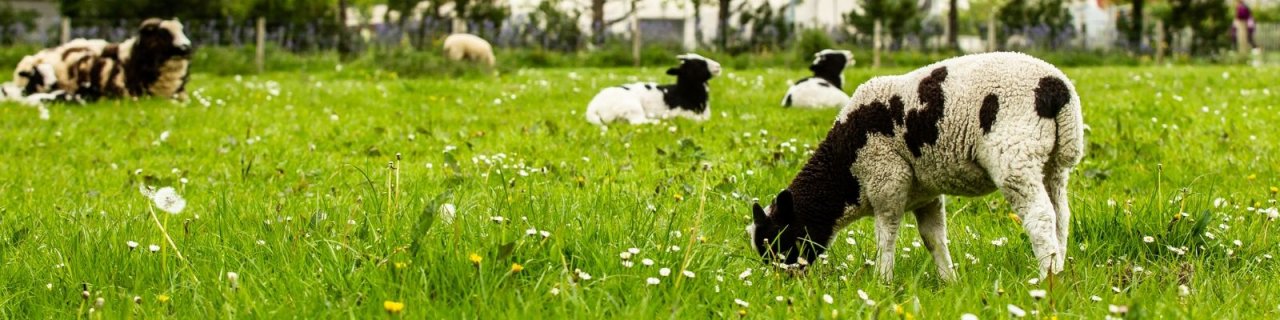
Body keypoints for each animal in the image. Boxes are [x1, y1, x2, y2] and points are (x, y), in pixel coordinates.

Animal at [586, 53, 727, 124]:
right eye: (697, 64)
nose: (718, 66)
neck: (683, 93)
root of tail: (593, 107)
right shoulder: (682, 113)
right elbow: (699, 120)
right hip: (632, 107)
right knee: (637, 122)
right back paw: (656, 122)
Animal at [747, 52, 1085, 282]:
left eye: (779, 240)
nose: (784, 282)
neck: (845, 170)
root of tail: (1056, 87)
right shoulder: (926, 196)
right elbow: (933, 238)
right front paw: (949, 281)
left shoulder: (886, 180)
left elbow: (886, 235)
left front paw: (882, 280)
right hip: (1054, 164)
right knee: (1061, 216)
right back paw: (1059, 271)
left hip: (1015, 157)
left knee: (1040, 217)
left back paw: (1046, 277)